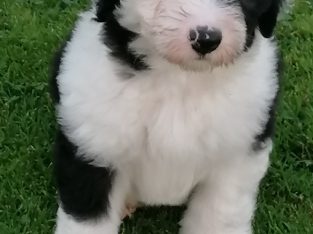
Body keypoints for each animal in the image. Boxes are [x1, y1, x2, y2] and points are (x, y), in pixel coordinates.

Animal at [51, 0, 282, 234]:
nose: (205, 39)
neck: (180, 76)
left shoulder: (237, 157)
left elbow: (217, 218)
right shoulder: (94, 150)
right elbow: (89, 221)